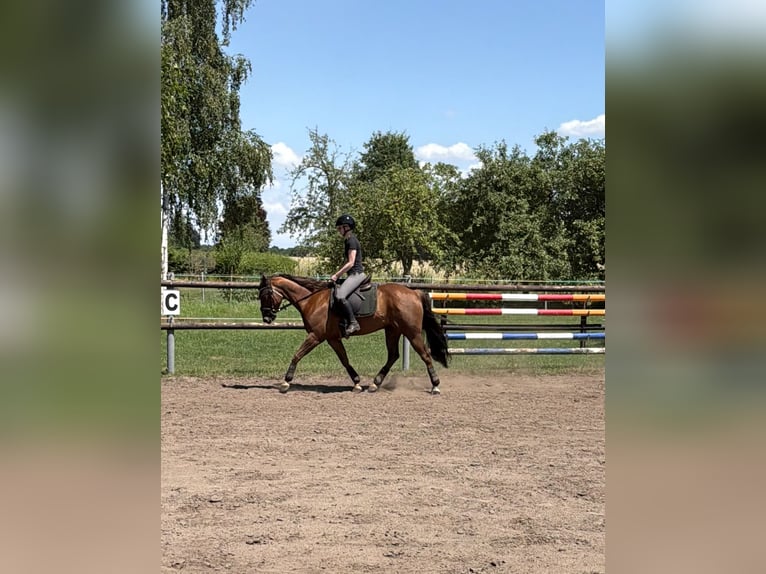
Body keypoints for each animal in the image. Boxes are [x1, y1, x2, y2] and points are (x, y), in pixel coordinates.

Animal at [257, 273, 449, 394]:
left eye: (265, 295)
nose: (267, 318)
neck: (312, 299)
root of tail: (414, 292)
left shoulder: (315, 336)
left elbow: (297, 355)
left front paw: (285, 382)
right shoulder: (332, 338)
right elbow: (344, 359)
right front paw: (356, 382)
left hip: (412, 332)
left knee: (425, 355)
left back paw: (435, 386)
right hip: (392, 330)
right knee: (393, 355)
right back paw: (374, 384)